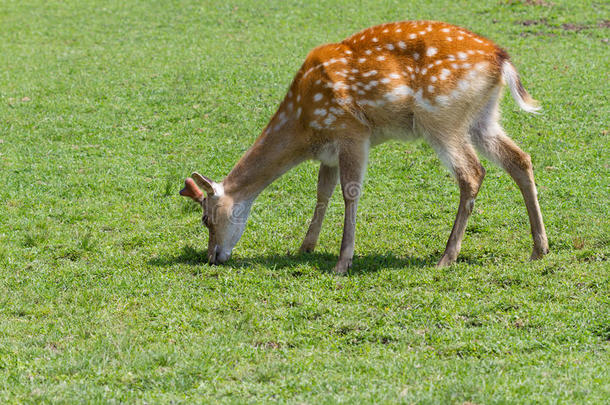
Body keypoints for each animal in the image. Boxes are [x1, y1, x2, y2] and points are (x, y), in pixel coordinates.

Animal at [178, 18, 548, 272]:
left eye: (206, 219)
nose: (212, 256)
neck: (304, 127)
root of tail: (501, 59)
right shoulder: (327, 152)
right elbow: (323, 191)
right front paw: (305, 247)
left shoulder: (352, 131)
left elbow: (350, 191)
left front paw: (343, 262)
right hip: (483, 117)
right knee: (520, 158)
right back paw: (539, 248)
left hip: (442, 117)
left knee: (472, 172)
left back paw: (446, 256)